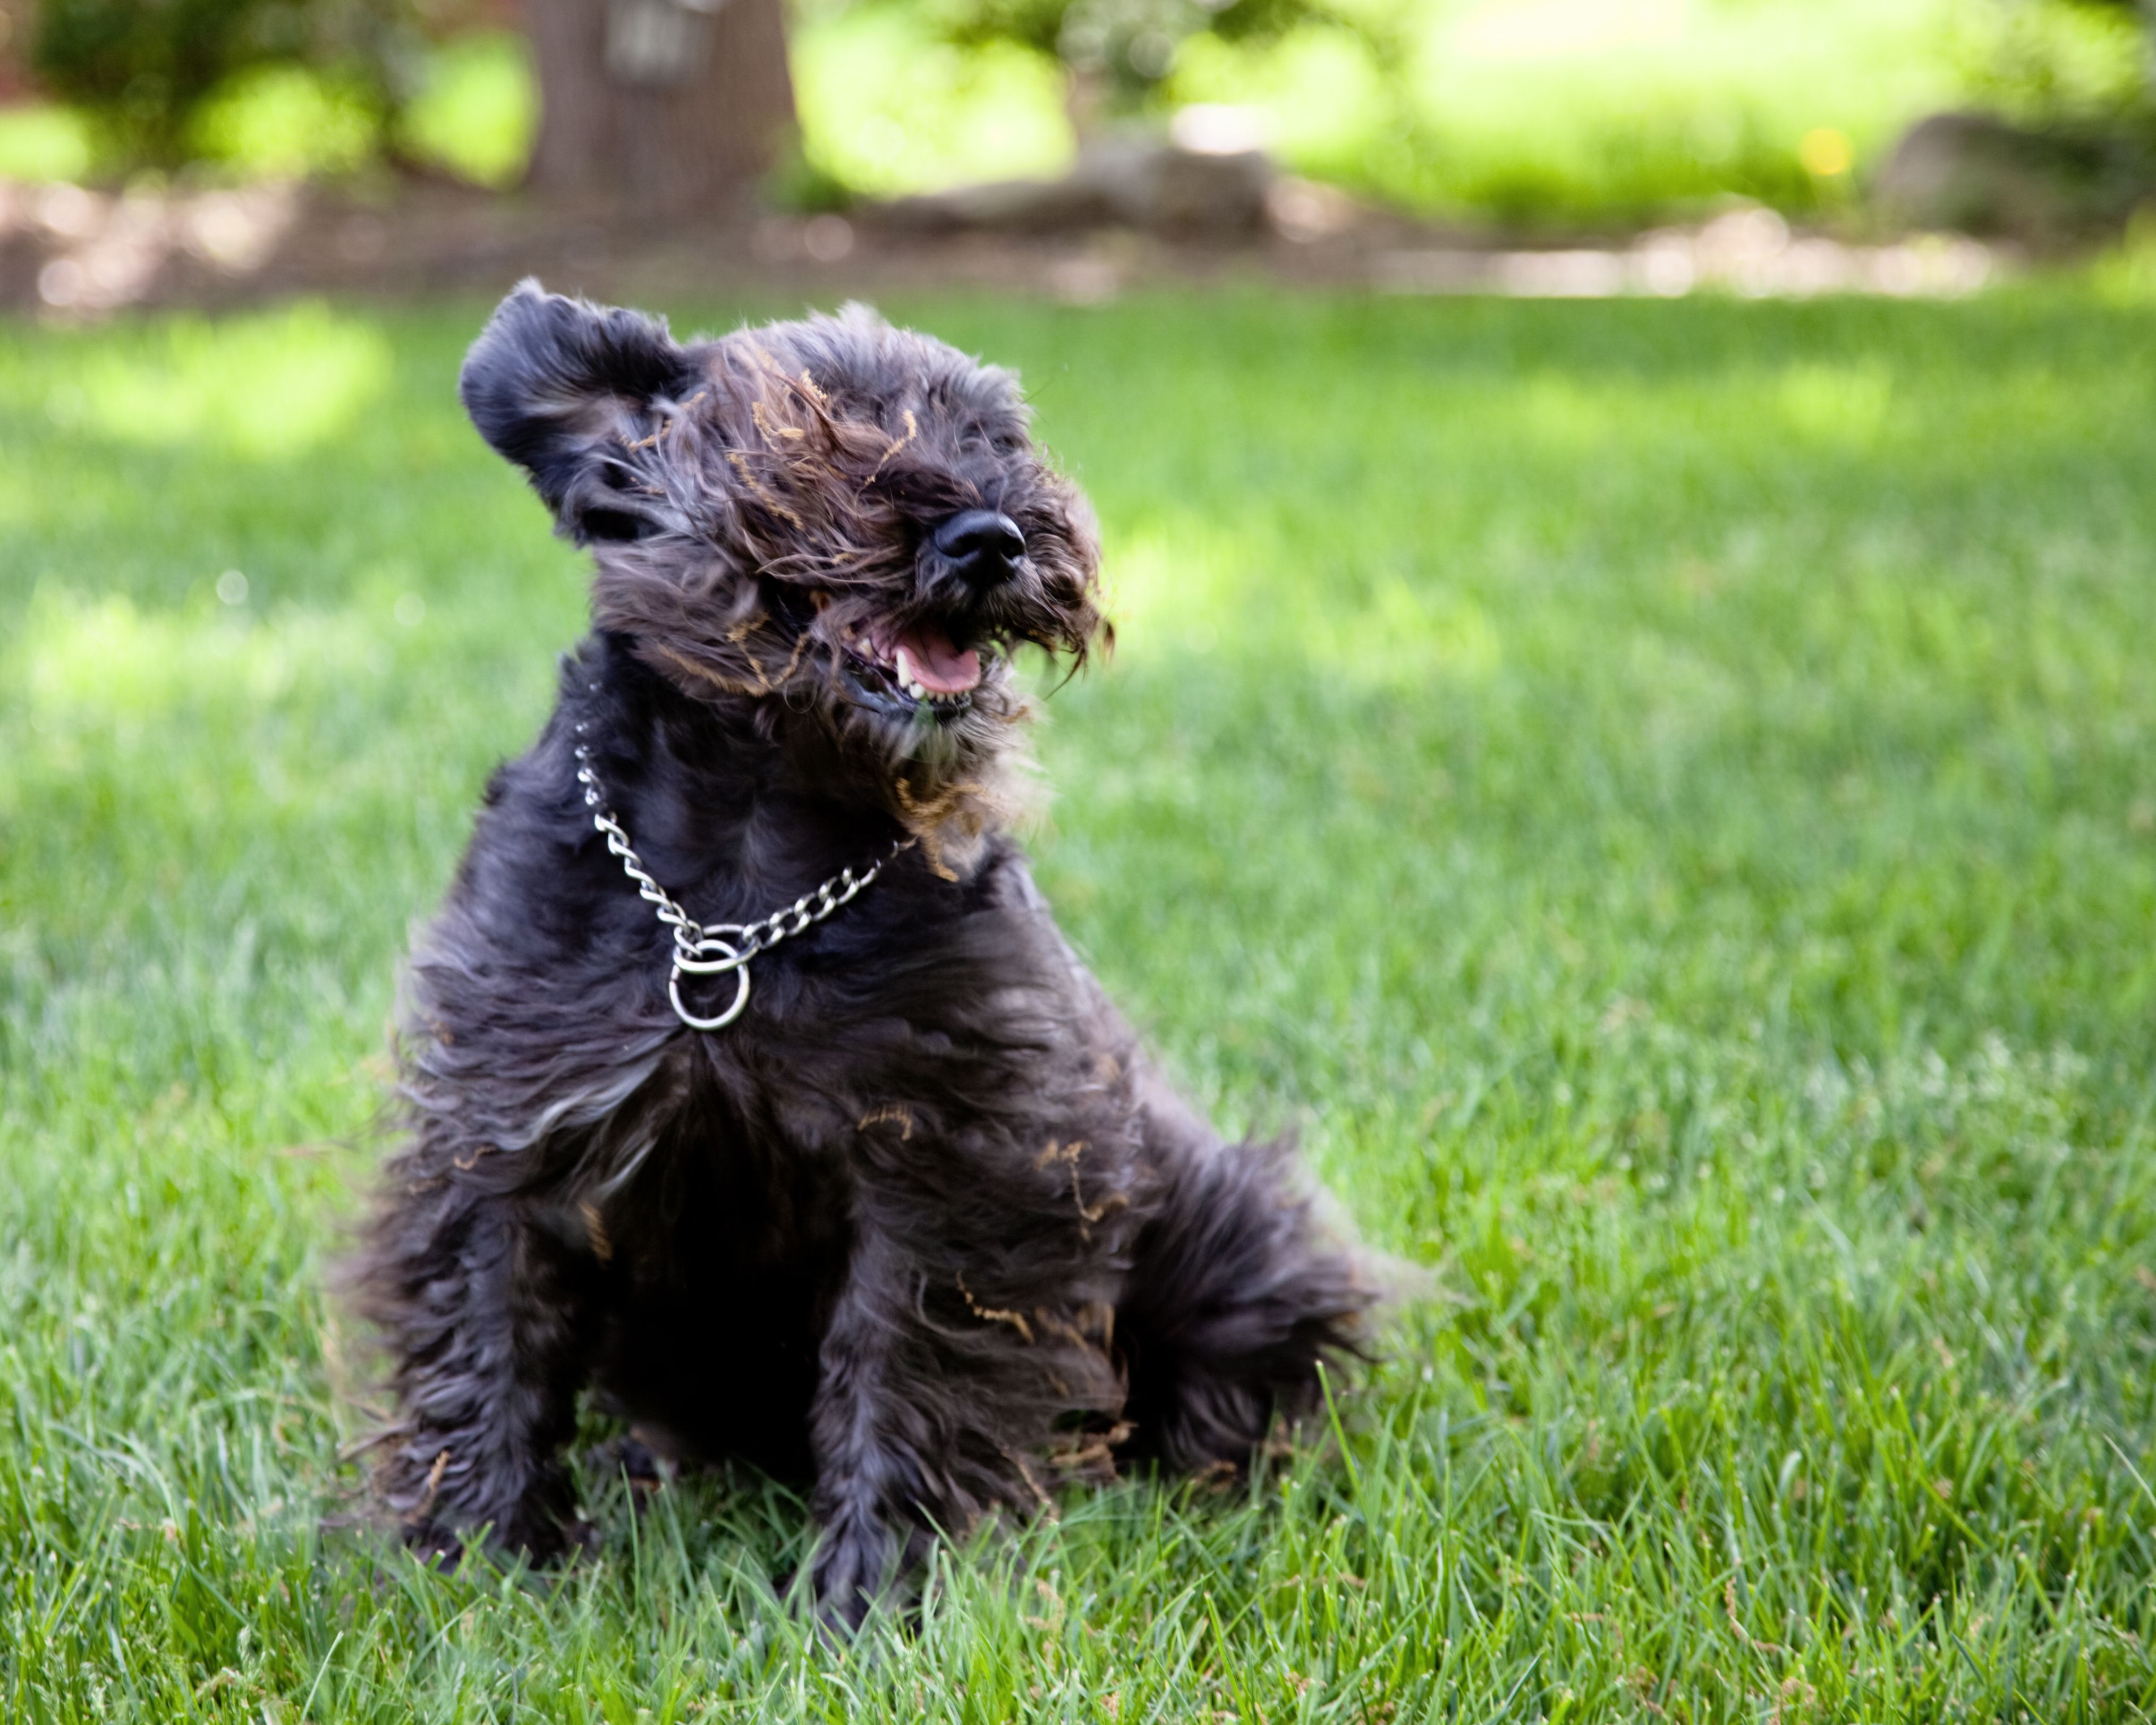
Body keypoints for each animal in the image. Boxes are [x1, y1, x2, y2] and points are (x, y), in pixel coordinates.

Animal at [349, 280, 1362, 1621]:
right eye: (814, 419)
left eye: (998, 435)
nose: (993, 536)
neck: (741, 887)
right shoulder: (506, 1124)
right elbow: (486, 1345)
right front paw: (477, 1563)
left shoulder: (949, 1165)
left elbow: (905, 1369)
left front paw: (874, 1592)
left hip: (1222, 1233)